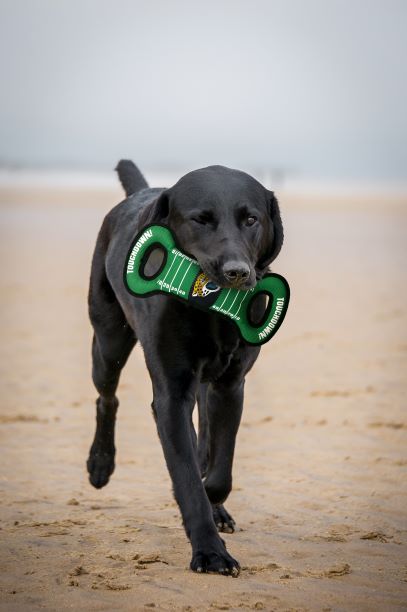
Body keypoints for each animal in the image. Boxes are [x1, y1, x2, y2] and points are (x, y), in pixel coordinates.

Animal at [87, 160, 284, 576]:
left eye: (251, 219)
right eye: (200, 220)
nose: (237, 272)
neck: (212, 313)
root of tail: (140, 193)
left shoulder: (230, 386)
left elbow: (219, 471)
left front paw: (215, 503)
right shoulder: (172, 394)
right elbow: (189, 476)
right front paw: (210, 552)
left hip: (206, 386)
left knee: (205, 438)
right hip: (109, 342)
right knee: (106, 397)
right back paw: (100, 463)